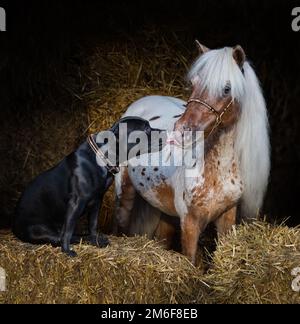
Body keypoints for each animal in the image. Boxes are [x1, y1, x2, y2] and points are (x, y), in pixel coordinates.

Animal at [13, 116, 162, 256]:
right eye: (146, 129)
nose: (165, 131)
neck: (103, 157)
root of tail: (14, 227)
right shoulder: (75, 203)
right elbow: (68, 230)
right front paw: (67, 251)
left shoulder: (97, 201)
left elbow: (93, 225)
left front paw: (95, 241)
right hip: (38, 230)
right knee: (59, 237)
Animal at [114, 43, 270, 264]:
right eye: (194, 83)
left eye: (227, 89)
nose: (180, 131)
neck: (217, 169)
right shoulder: (189, 223)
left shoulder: (227, 217)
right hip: (124, 194)